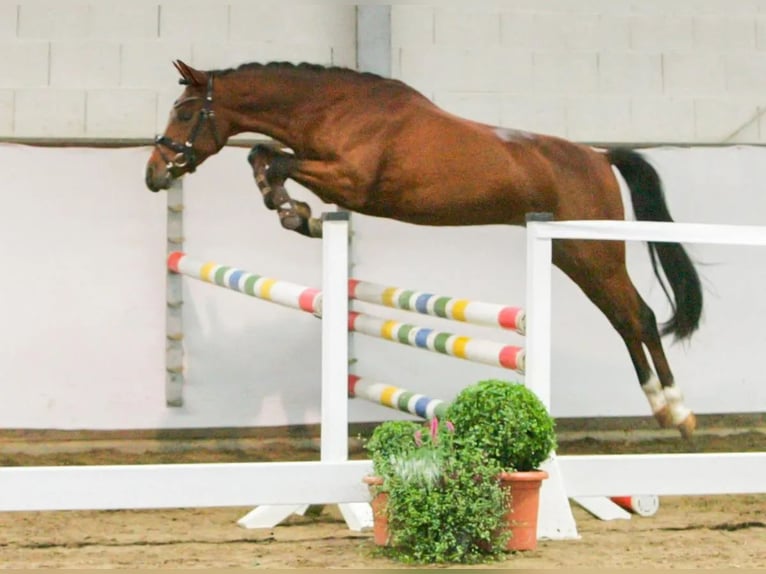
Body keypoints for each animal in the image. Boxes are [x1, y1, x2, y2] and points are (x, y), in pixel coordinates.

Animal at [147, 60, 704, 438]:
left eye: (186, 112)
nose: (154, 175)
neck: (335, 108)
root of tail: (600, 157)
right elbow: (264, 155)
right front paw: (294, 213)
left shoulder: (350, 182)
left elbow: (275, 159)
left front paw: (296, 213)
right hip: (571, 254)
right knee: (622, 319)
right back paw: (661, 407)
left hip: (595, 252)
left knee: (638, 316)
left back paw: (677, 411)